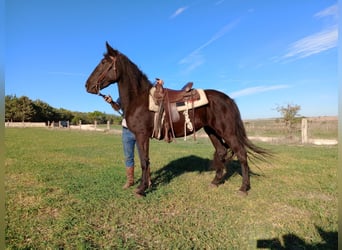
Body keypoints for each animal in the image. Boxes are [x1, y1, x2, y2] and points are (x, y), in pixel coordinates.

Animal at [85, 42, 268, 196]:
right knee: (222, 152)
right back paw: (215, 182)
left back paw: (243, 188)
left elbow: (144, 161)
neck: (139, 99)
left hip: (227, 131)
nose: (87, 85)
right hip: (212, 131)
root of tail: (228, 99)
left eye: (103, 62)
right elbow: (145, 161)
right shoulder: (140, 137)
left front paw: (141, 189)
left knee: (242, 154)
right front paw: (148, 184)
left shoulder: (142, 135)